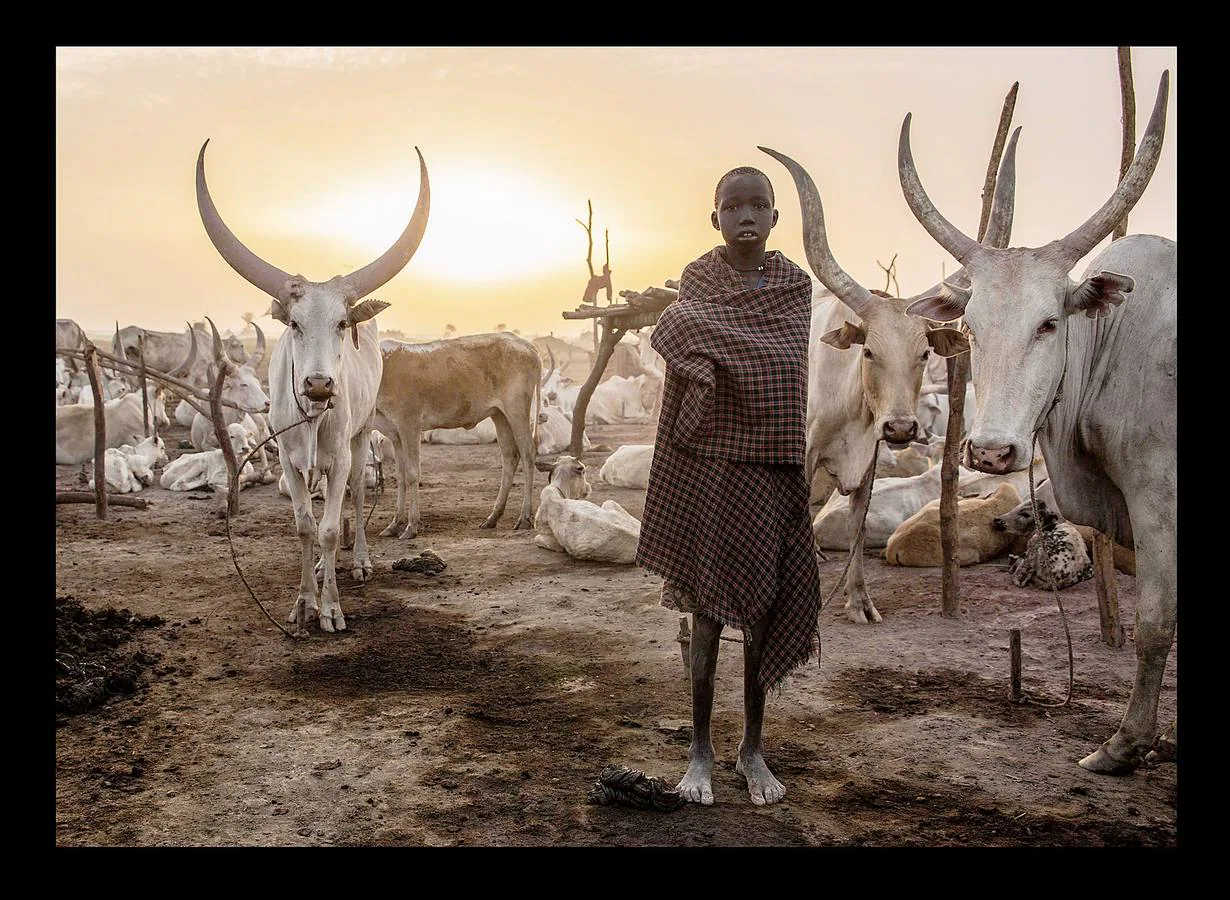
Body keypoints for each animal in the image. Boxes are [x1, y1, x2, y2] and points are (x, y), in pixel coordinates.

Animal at [194, 138, 430, 634]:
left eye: (341, 323)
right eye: (295, 324)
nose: (319, 385)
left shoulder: (340, 454)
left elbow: (329, 526)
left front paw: (332, 608)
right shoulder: (287, 457)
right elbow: (306, 526)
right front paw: (304, 603)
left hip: (362, 436)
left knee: (355, 494)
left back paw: (356, 561)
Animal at [371, 334, 541, 538]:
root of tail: (527, 346)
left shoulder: (410, 426)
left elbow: (412, 474)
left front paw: (411, 526)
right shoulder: (396, 436)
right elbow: (401, 476)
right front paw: (395, 524)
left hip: (517, 410)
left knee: (528, 454)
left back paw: (524, 518)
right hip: (500, 415)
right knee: (510, 456)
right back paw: (493, 517)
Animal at [900, 71, 1175, 772]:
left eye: (1049, 322)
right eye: (970, 325)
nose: (992, 452)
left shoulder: (1159, 500)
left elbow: (1155, 623)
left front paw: (1125, 745)